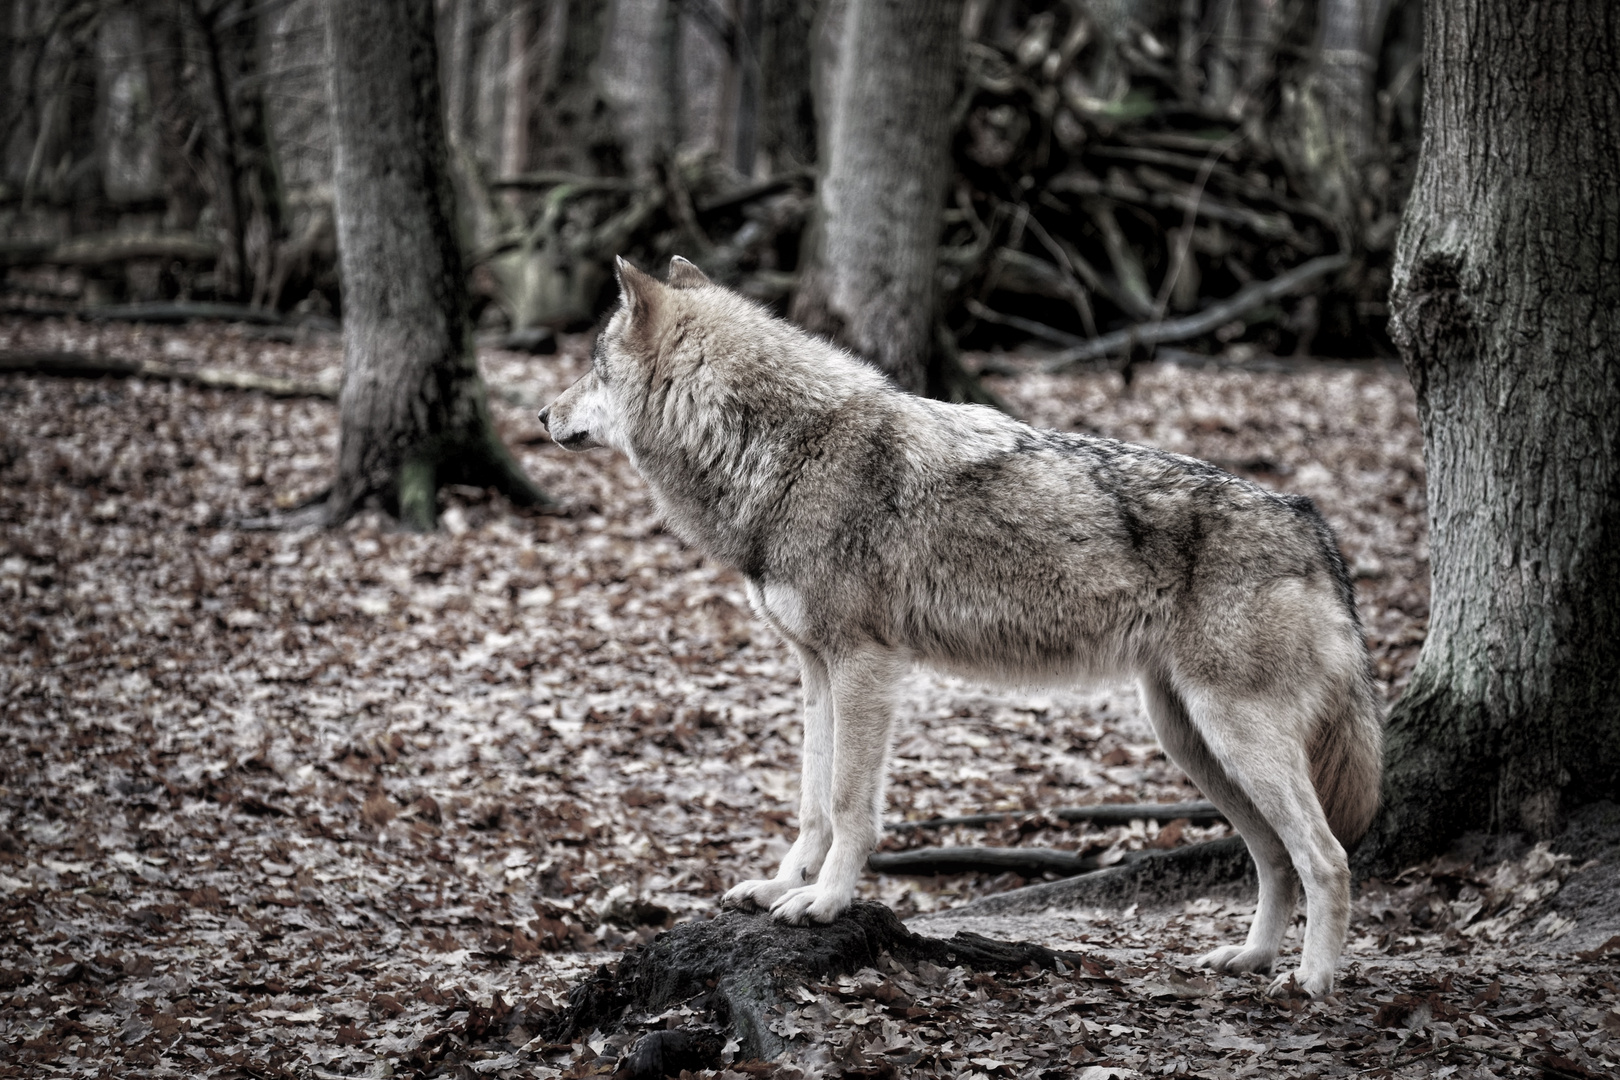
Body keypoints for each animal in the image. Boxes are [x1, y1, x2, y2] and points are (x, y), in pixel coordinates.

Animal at [544, 255, 1380, 997]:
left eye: (592, 368)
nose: (543, 414)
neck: (786, 450)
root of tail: (1311, 521)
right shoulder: (815, 668)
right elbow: (810, 800)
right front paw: (780, 887)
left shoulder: (866, 666)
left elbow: (848, 804)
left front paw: (825, 903)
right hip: (1190, 739)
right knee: (1274, 857)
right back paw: (1250, 958)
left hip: (1233, 736)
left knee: (1327, 856)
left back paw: (1312, 980)